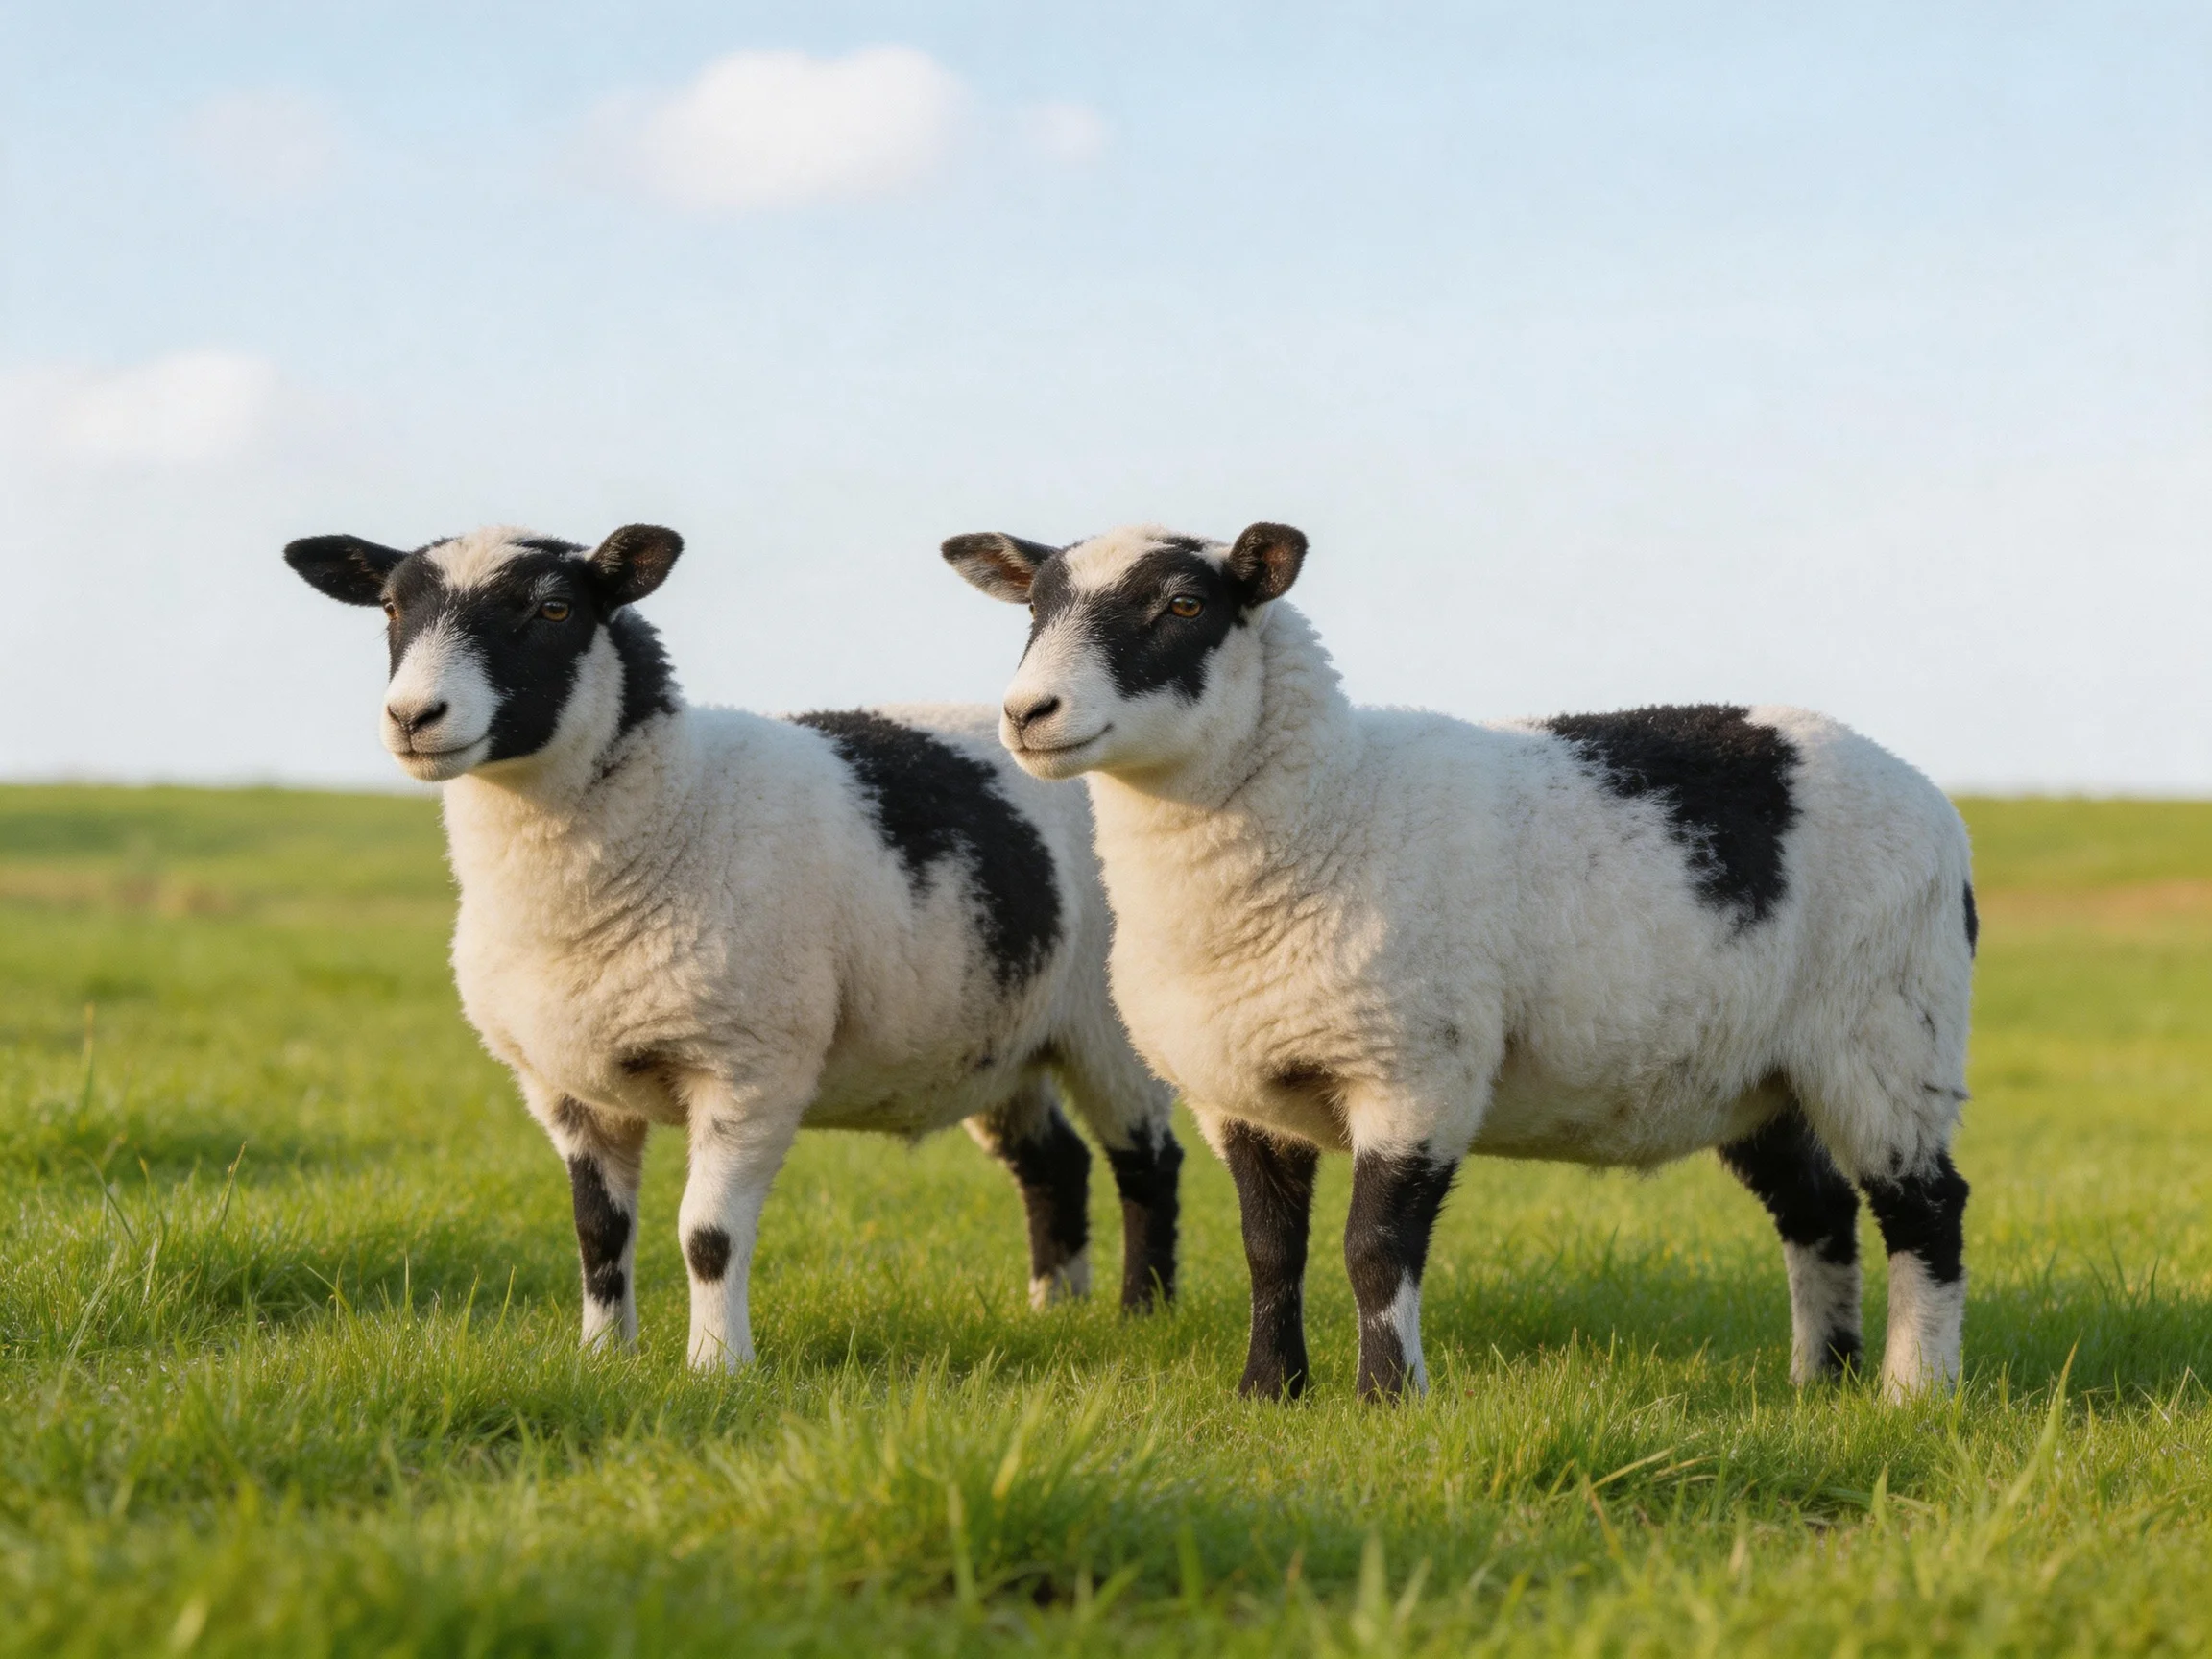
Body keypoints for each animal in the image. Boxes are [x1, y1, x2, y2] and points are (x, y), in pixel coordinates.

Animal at [283, 522, 1181, 1369]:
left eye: (553, 609)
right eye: (391, 608)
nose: (412, 718)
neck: (681, 807)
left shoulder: (749, 1067)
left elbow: (706, 1235)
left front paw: (716, 1367)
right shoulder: (566, 1088)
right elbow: (597, 1232)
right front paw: (601, 1358)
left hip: (1109, 1027)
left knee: (1146, 1162)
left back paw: (1144, 1315)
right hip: (999, 1035)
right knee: (1055, 1163)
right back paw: (1054, 1308)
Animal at [944, 521, 1976, 1403]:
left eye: (1184, 605)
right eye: (1034, 610)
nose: (1029, 714)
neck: (1335, 804)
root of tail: (1923, 789)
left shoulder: (1415, 1069)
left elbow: (1374, 1248)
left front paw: (1386, 1402)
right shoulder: (1237, 1090)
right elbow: (1269, 1251)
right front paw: (1270, 1393)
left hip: (1890, 1032)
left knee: (1924, 1208)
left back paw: (1912, 1391)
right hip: (1761, 1073)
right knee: (1820, 1212)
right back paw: (1820, 1381)